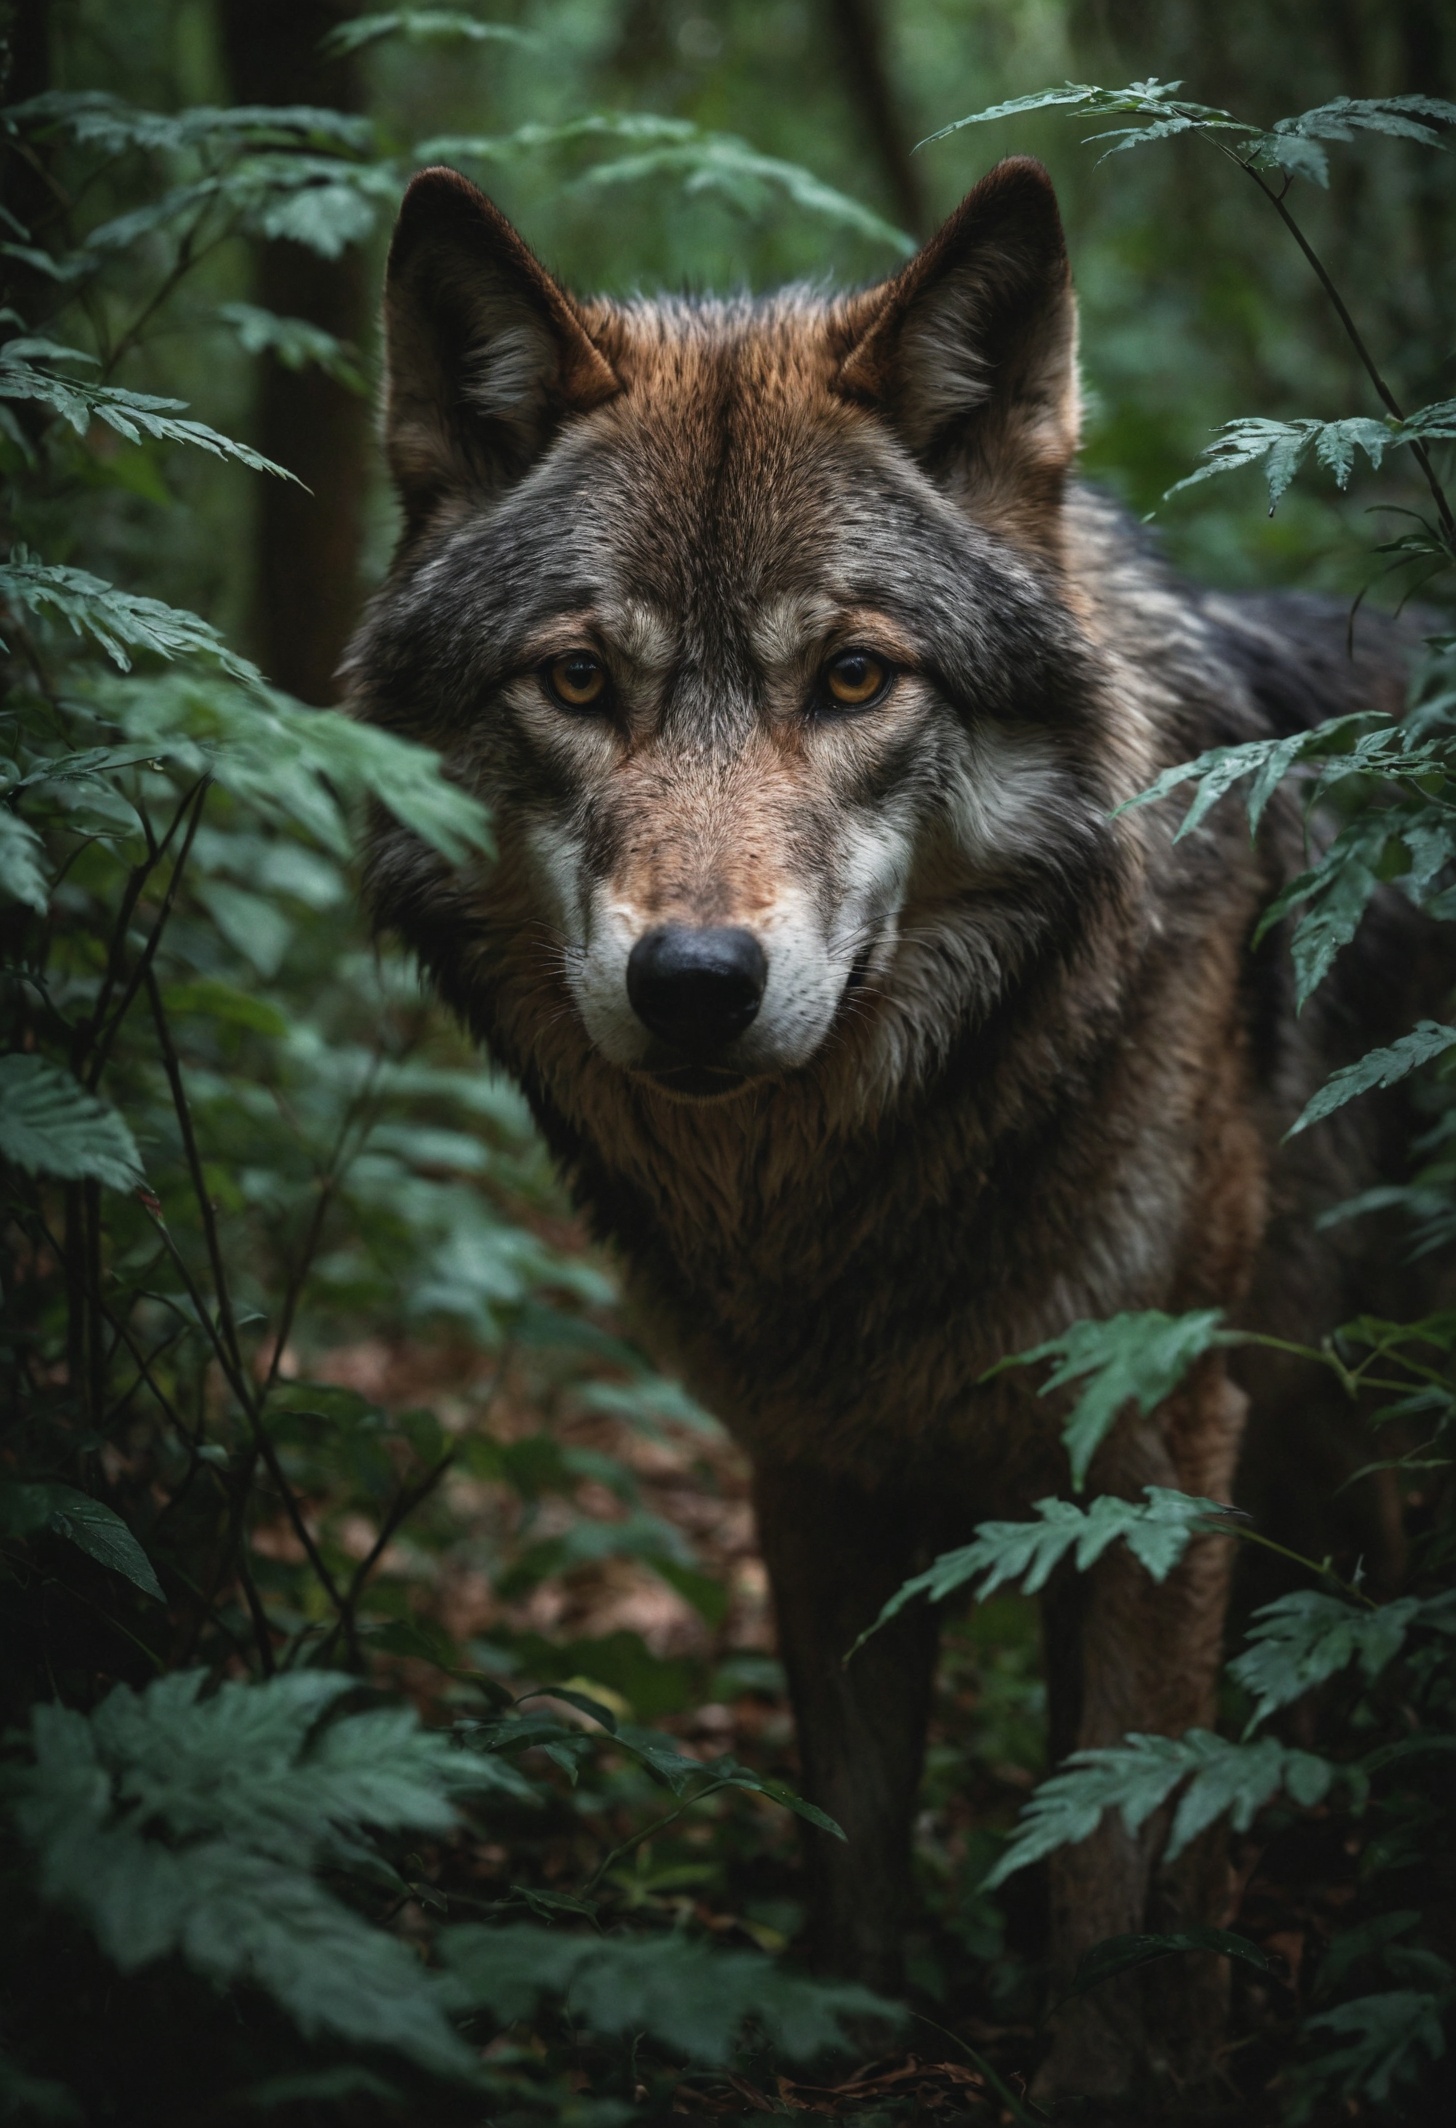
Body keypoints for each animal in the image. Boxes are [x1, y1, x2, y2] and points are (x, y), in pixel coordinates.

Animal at [344, 157, 1430, 2102]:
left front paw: (1110, 2082)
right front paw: (831, 2032)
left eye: (854, 679)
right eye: (577, 683)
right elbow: (850, 1836)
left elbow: (1115, 1866)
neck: (857, 1181)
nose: (696, 982)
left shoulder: (1156, 1455)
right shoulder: (815, 1461)